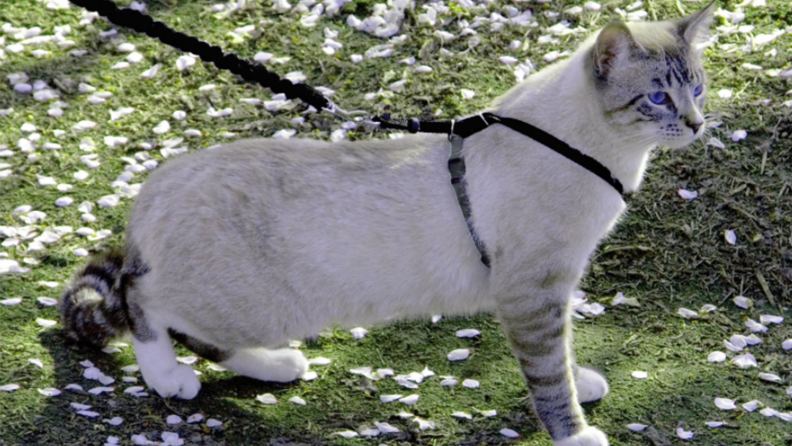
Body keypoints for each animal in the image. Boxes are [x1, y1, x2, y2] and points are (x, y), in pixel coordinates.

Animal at [62, 4, 716, 446]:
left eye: (697, 88)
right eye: (657, 98)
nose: (696, 123)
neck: (605, 157)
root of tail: (156, 186)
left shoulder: (550, 290)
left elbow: (562, 353)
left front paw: (581, 383)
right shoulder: (532, 289)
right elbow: (549, 374)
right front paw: (575, 432)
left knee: (196, 331)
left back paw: (275, 365)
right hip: (251, 301)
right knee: (141, 300)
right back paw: (170, 378)